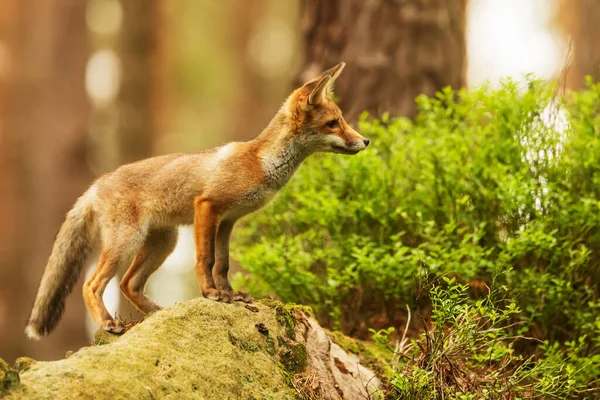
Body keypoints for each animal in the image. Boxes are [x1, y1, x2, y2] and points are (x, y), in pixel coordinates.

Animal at [25, 61, 368, 338]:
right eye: (333, 123)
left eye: (342, 119)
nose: (365, 141)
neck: (261, 163)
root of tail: (96, 184)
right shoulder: (207, 207)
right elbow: (206, 259)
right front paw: (210, 294)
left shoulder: (228, 220)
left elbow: (223, 264)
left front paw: (231, 295)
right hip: (127, 242)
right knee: (92, 284)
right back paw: (108, 322)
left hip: (164, 244)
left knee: (128, 284)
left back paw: (157, 313)